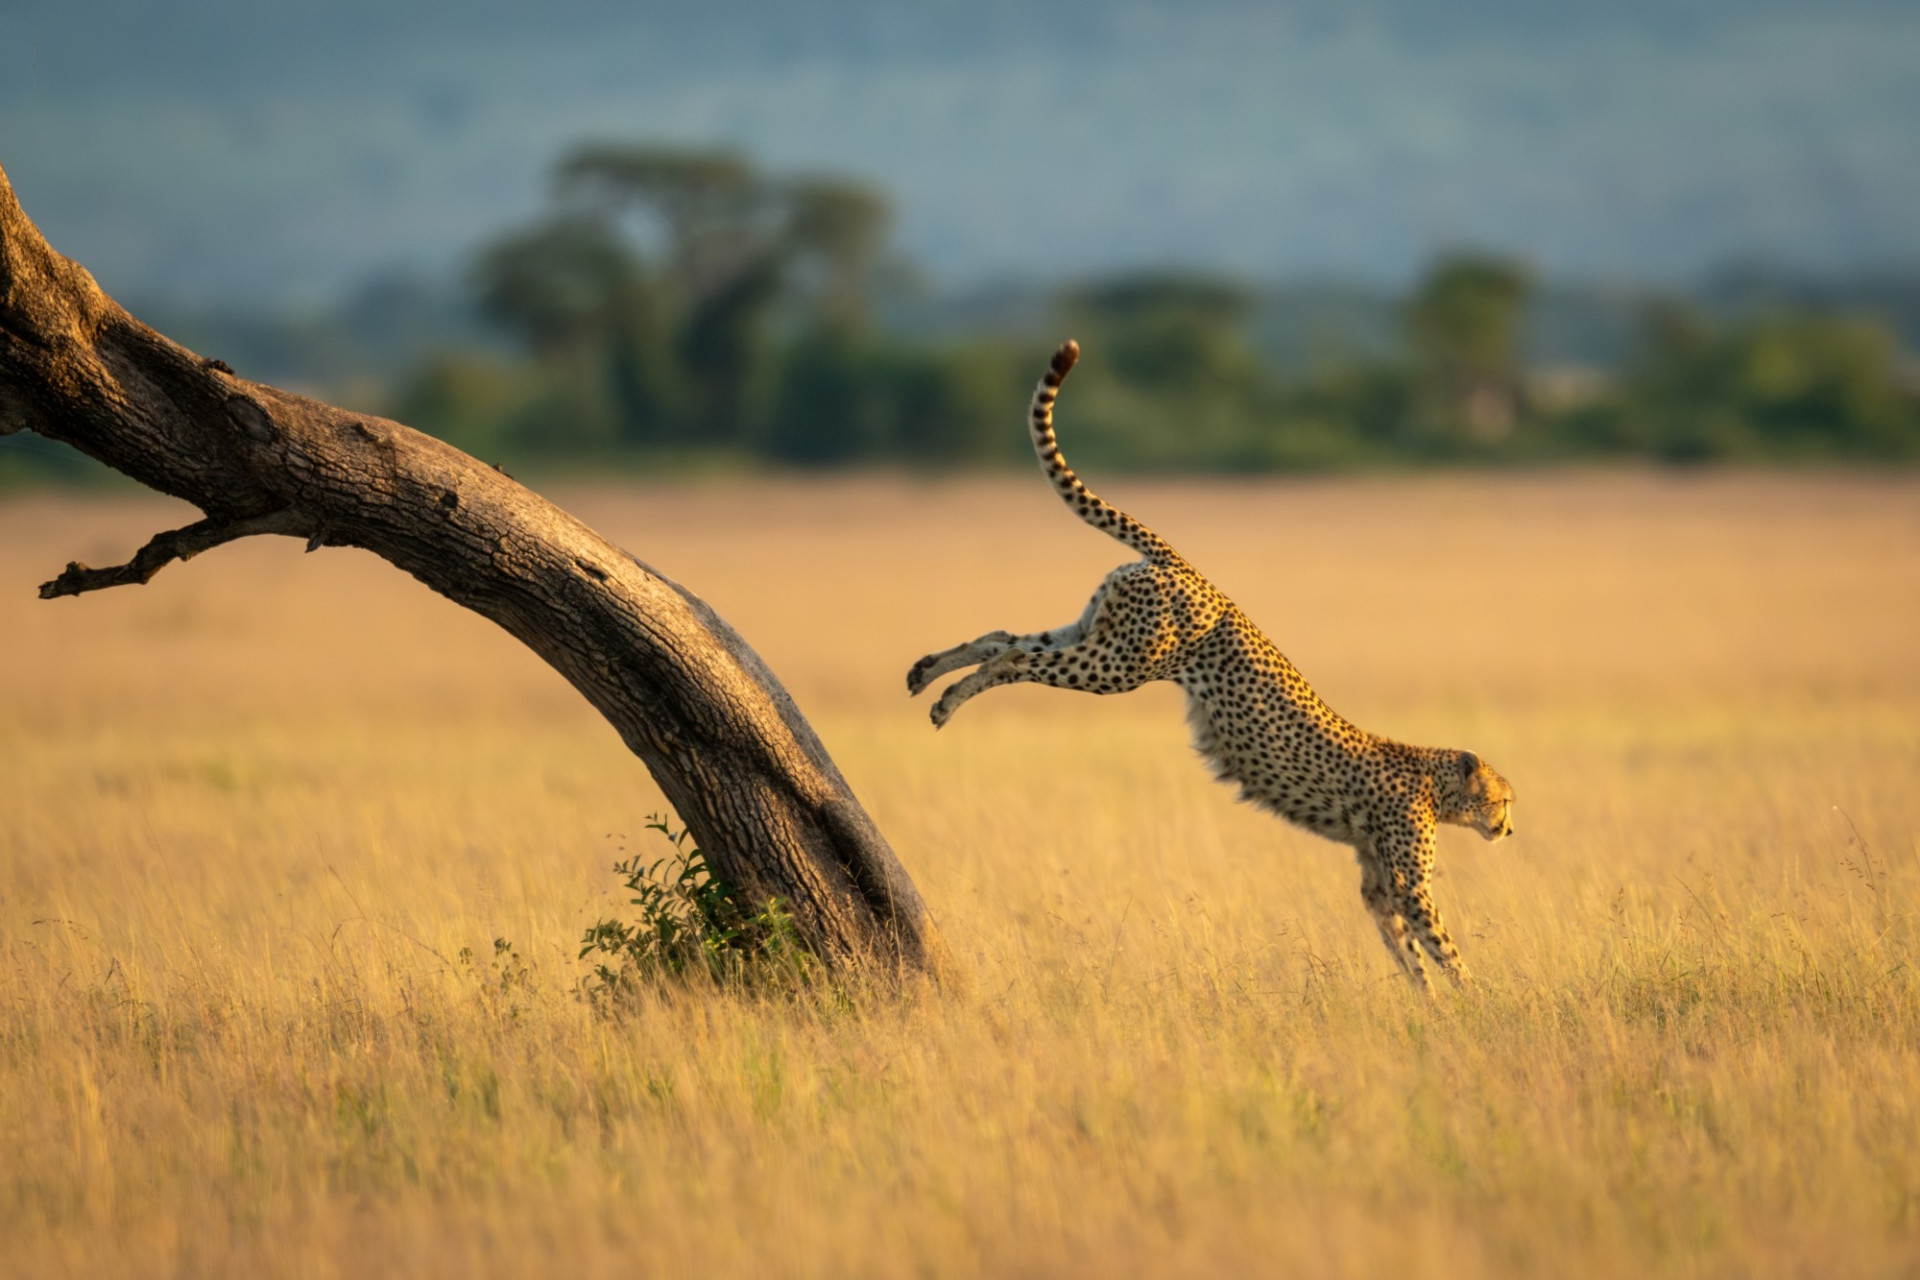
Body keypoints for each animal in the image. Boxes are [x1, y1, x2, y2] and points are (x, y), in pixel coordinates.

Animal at [906, 339, 1515, 987]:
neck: (1434, 779)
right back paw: (947, 700)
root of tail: (1192, 571)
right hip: (1120, 664)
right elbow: (1442, 946)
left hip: (1097, 633)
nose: (1508, 828)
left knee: (1000, 638)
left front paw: (1428, 999)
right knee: (1016, 655)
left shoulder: (1377, 882)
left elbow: (1406, 950)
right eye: (1503, 800)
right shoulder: (1406, 881)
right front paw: (1475, 998)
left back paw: (928, 677)